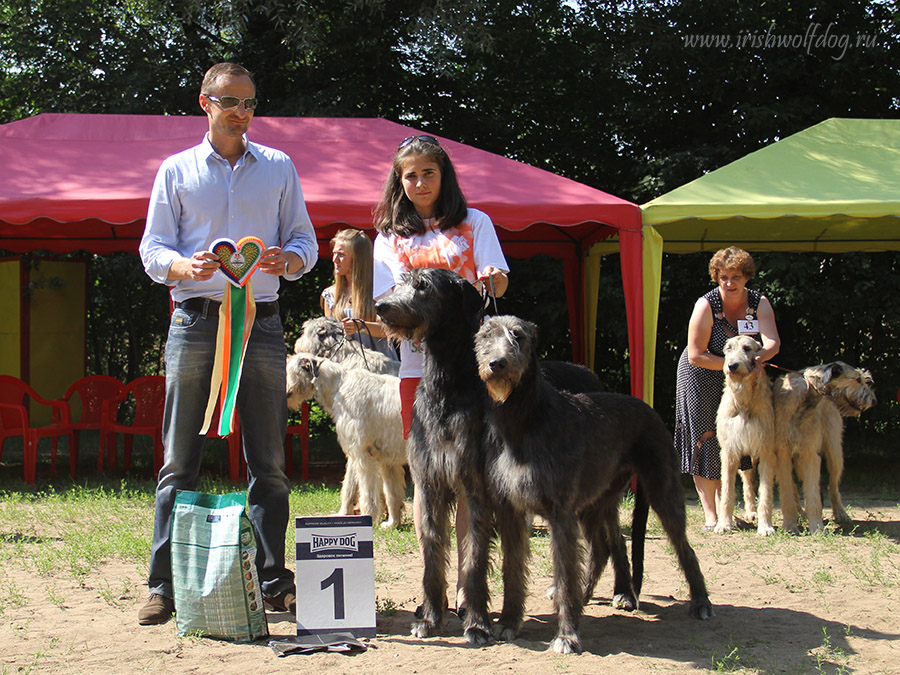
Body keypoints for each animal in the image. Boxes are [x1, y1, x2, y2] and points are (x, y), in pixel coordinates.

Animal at [286, 352, 406, 532]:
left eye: (288, 370)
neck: (338, 386)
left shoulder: (363, 455)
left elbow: (367, 492)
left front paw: (369, 517)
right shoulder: (383, 459)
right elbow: (388, 493)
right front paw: (392, 522)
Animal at [474, 316, 712, 656]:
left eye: (517, 336)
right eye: (485, 336)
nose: (497, 363)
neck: (523, 420)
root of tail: (648, 408)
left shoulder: (560, 511)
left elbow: (564, 571)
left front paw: (567, 635)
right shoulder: (511, 510)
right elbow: (513, 569)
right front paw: (508, 622)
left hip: (661, 489)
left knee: (683, 546)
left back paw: (701, 601)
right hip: (595, 500)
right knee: (603, 548)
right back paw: (587, 596)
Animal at [716, 336, 788, 536]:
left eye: (747, 348)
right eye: (728, 348)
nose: (732, 365)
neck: (743, 400)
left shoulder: (766, 451)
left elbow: (766, 493)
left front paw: (765, 526)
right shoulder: (730, 451)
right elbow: (726, 491)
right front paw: (723, 524)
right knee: (748, 481)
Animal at [768, 360, 876, 532]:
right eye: (858, 379)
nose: (874, 401)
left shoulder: (810, 454)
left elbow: (813, 494)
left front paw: (817, 528)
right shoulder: (782, 454)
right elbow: (787, 492)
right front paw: (790, 525)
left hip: (834, 450)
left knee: (833, 486)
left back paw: (841, 514)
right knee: (794, 487)